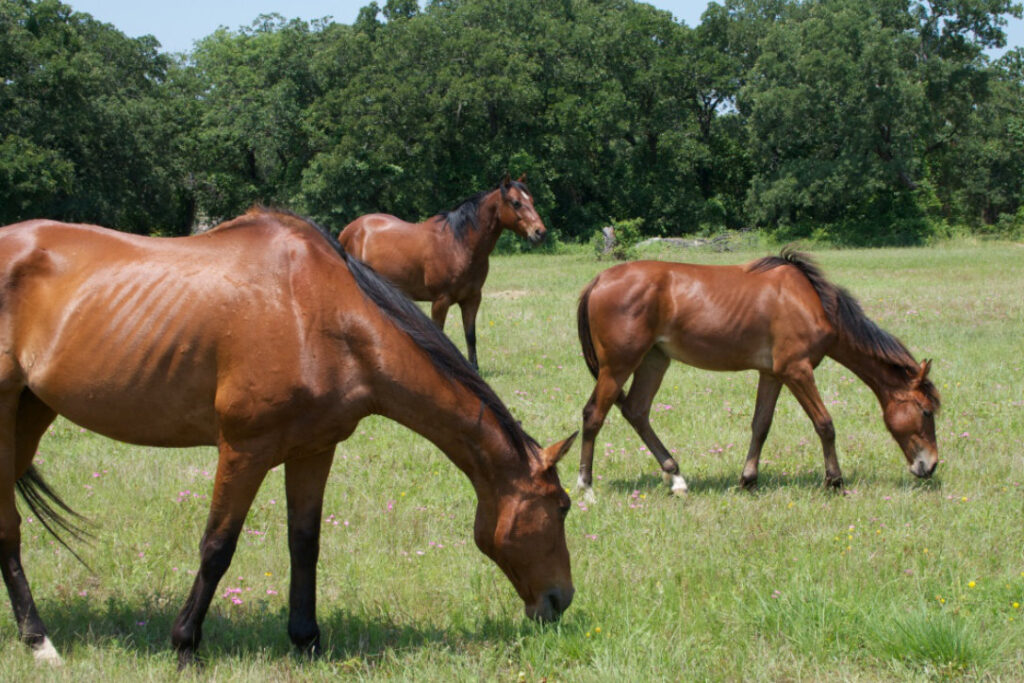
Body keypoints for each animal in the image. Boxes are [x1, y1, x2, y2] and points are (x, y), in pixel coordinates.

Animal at [0, 208, 575, 668]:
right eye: (562, 506)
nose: (561, 600)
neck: (318, 314)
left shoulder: (314, 450)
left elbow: (305, 544)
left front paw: (306, 640)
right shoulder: (243, 450)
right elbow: (217, 547)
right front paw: (185, 645)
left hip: (31, 413)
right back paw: (40, 643)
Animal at [338, 174, 547, 369]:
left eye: (532, 200)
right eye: (516, 202)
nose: (540, 232)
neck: (459, 244)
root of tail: (349, 230)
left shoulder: (472, 299)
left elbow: (470, 336)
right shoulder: (440, 300)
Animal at [575, 249, 940, 499]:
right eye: (926, 412)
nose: (930, 466)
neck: (811, 301)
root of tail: (598, 280)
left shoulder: (773, 374)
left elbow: (761, 425)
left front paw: (748, 479)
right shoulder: (797, 371)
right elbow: (825, 424)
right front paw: (834, 481)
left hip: (654, 361)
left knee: (637, 412)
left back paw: (676, 477)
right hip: (618, 366)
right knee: (594, 415)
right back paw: (586, 488)